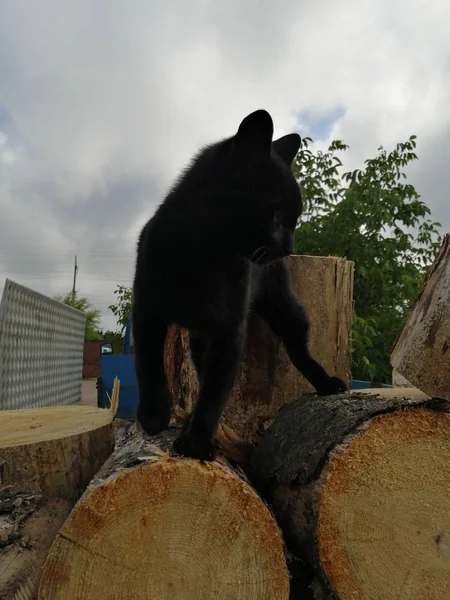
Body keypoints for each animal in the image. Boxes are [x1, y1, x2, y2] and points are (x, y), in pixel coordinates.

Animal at [132, 108, 346, 460]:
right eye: (277, 215)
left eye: (294, 219)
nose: (290, 247)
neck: (203, 254)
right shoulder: (147, 312)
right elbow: (148, 367)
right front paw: (154, 416)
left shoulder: (229, 329)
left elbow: (215, 393)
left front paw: (196, 443)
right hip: (198, 337)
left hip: (285, 308)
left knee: (298, 348)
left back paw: (327, 383)